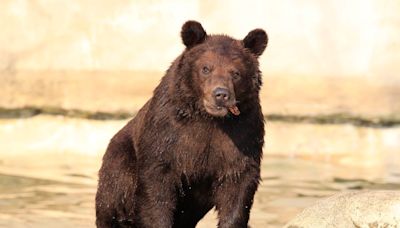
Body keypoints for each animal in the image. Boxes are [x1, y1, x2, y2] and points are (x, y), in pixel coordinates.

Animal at [95, 20, 268, 227]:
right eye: (206, 68)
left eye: (236, 73)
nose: (221, 94)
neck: (209, 119)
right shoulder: (168, 133)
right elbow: (156, 188)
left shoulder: (243, 132)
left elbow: (238, 183)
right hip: (121, 158)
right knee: (115, 193)